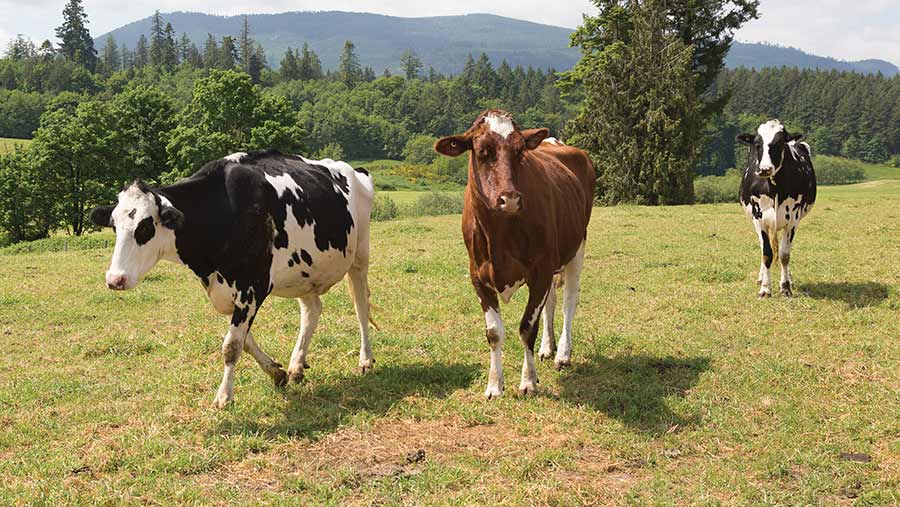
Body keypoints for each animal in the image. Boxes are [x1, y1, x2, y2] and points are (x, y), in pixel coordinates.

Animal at [89, 151, 376, 408]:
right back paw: (297, 365)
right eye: (114, 226)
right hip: (304, 272)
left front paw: (224, 396)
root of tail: (354, 169)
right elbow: (244, 341)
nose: (115, 279)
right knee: (312, 310)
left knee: (361, 307)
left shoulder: (253, 288)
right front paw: (277, 372)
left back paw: (365, 360)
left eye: (146, 226)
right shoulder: (226, 292)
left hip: (359, 256)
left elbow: (231, 345)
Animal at [434, 111, 596, 400]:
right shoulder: (478, 277)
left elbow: (526, 327)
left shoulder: (540, 271)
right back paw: (547, 348)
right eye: (482, 151)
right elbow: (494, 332)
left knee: (569, 300)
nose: (509, 198)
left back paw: (563, 354)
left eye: (520, 151)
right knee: (552, 303)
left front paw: (528, 381)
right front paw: (494, 385)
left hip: (577, 246)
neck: (500, 233)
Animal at [740, 120, 816, 298]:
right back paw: (761, 277)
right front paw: (765, 289)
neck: (774, 187)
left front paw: (785, 287)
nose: (764, 169)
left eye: (780, 143)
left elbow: (784, 255)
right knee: (764, 248)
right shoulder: (759, 218)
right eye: (757, 144)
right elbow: (767, 253)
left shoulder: (793, 219)